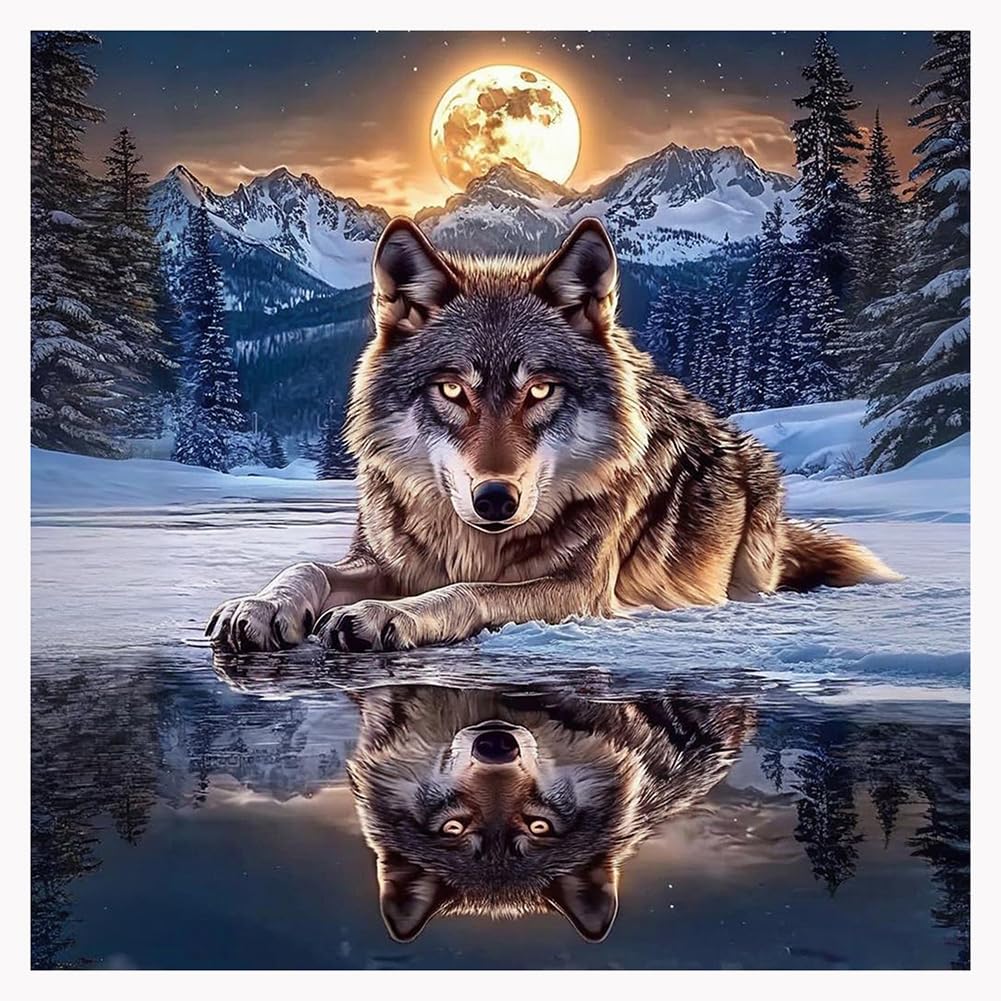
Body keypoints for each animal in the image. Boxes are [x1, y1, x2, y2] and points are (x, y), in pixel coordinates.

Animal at [207, 216, 900, 653]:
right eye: (453, 391)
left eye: (539, 391)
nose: (495, 499)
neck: (473, 541)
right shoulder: (383, 561)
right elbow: (305, 566)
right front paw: (260, 607)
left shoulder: (579, 589)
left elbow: (467, 591)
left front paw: (387, 615)